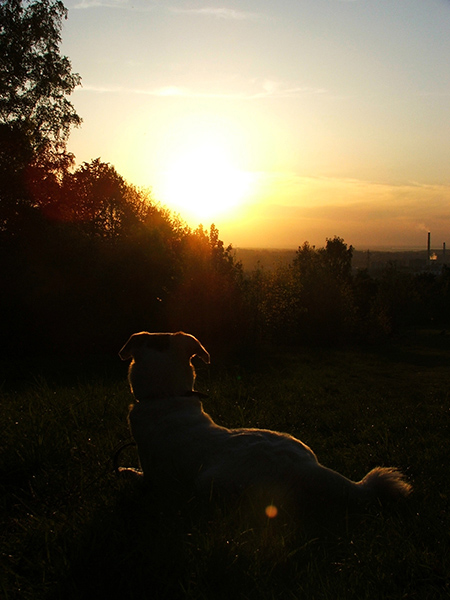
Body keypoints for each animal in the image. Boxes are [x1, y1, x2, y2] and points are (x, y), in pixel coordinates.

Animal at [118, 332, 412, 520]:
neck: (167, 396)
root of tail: (308, 469)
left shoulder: (152, 476)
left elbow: (136, 475)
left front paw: (125, 470)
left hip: (208, 482)